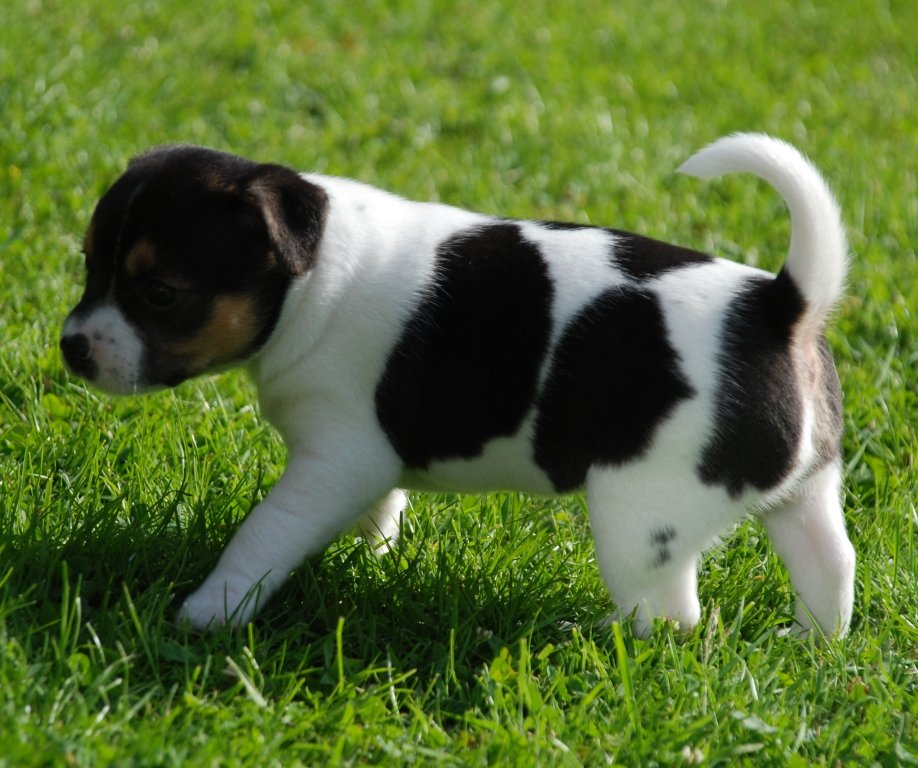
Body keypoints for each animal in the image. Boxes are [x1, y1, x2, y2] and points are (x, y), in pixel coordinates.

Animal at [61, 133, 855, 637]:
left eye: (160, 294)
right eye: (89, 265)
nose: (71, 347)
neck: (311, 277)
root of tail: (778, 306)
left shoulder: (335, 460)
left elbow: (264, 534)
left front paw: (208, 613)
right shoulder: (362, 466)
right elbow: (379, 511)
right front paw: (371, 556)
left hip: (640, 514)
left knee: (667, 617)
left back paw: (587, 636)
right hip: (805, 490)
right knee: (830, 565)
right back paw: (810, 643)